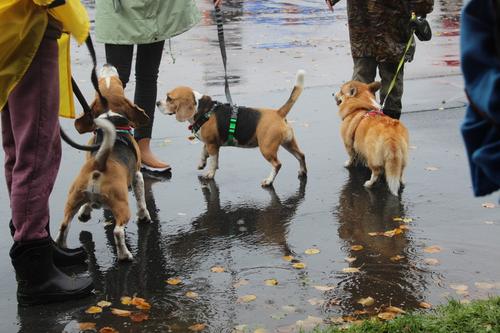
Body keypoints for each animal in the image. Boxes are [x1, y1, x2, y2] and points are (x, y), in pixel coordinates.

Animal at [55, 65, 151, 260]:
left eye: (100, 83)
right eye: (118, 82)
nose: (107, 65)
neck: (111, 117)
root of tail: (100, 164)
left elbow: (87, 205)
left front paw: (85, 213)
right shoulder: (137, 174)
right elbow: (141, 199)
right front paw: (144, 216)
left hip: (72, 198)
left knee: (64, 225)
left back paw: (62, 246)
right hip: (122, 206)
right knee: (118, 231)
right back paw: (124, 255)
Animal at [156, 69, 306, 187]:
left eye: (169, 98)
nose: (157, 103)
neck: (202, 109)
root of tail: (279, 113)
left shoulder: (212, 145)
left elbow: (213, 161)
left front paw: (209, 174)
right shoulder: (209, 143)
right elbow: (203, 152)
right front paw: (202, 163)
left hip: (267, 148)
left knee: (277, 164)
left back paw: (268, 181)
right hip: (288, 143)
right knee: (301, 155)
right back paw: (303, 172)